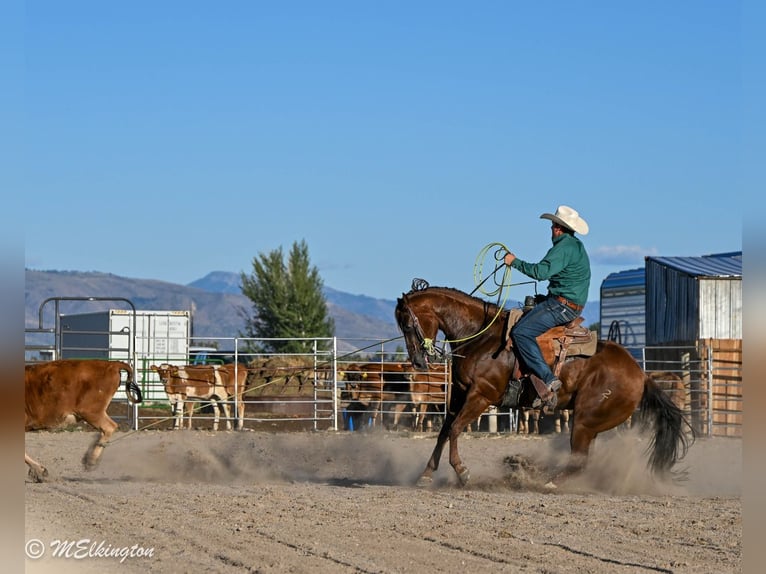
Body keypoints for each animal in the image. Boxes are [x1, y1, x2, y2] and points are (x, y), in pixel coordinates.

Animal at [394, 284, 692, 487]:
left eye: (407, 323)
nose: (418, 362)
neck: (480, 336)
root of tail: (641, 374)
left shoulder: (481, 395)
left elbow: (456, 429)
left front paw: (463, 472)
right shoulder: (459, 393)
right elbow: (444, 431)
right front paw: (426, 474)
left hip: (583, 420)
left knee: (579, 461)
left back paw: (543, 480)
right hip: (591, 425)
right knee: (582, 461)